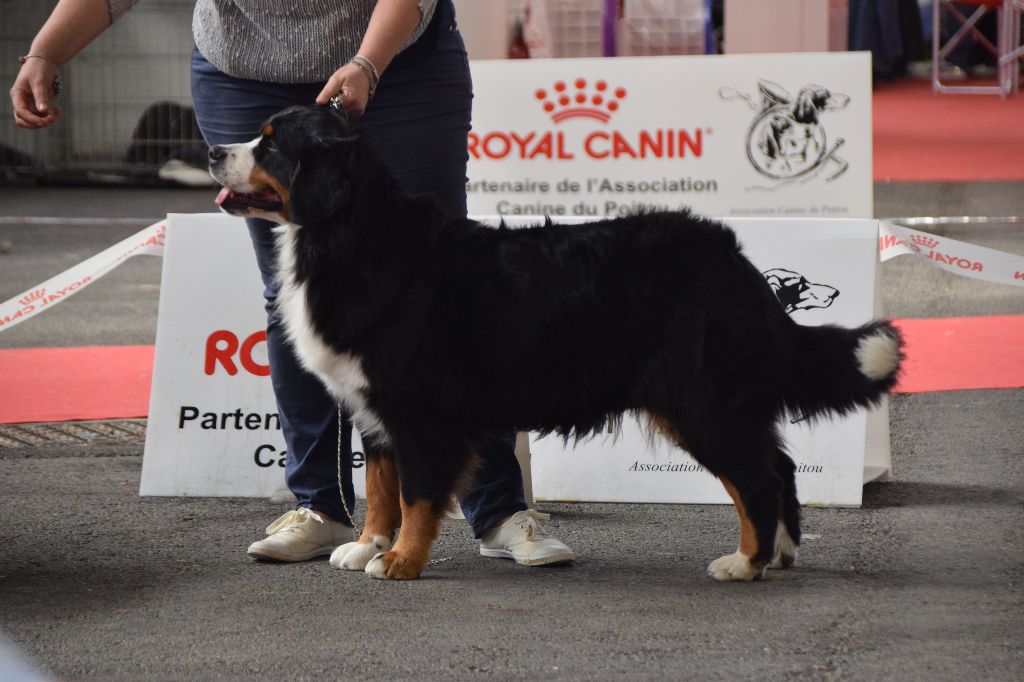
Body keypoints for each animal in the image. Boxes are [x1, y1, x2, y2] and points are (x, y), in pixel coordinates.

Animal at [207, 106, 905, 577]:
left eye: (272, 144)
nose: (214, 150)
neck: (350, 236)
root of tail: (731, 258)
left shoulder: (417, 411)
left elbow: (416, 494)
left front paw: (401, 561)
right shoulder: (374, 410)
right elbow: (380, 489)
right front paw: (366, 547)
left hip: (699, 402)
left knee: (756, 479)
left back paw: (744, 563)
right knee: (778, 467)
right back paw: (780, 553)